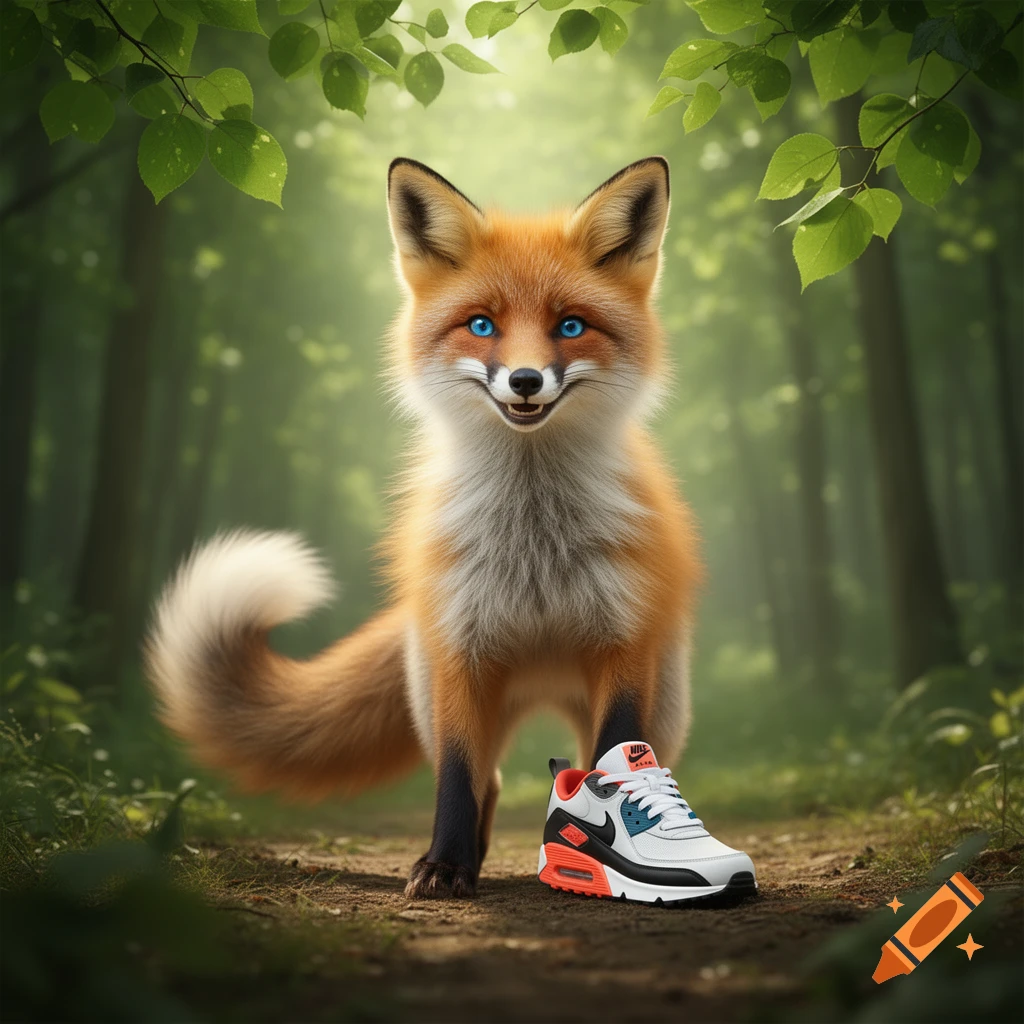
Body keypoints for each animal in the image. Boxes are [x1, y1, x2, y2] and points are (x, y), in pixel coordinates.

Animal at [146, 156, 703, 900]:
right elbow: (458, 779)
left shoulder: (623, 647)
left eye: (571, 327)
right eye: (481, 325)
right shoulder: (459, 651)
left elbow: (616, 763)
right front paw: (445, 864)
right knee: (489, 777)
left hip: (663, 703)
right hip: (429, 687)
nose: (525, 380)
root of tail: (541, 676)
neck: (534, 549)